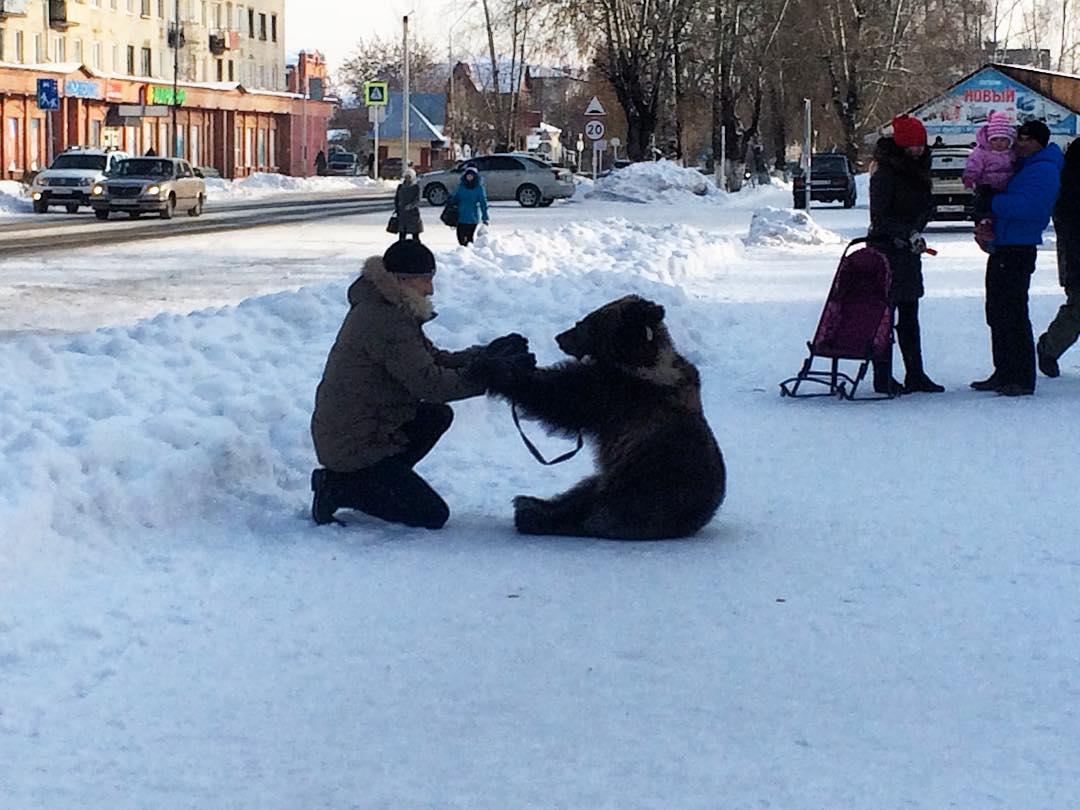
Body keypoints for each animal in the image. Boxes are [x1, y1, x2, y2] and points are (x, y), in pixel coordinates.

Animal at [488, 295, 725, 542]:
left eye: (586, 323)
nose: (560, 337)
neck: (638, 360)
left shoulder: (615, 393)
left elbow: (560, 398)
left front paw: (503, 369)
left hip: (643, 490)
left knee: (594, 514)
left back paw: (535, 515)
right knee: (581, 493)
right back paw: (533, 504)